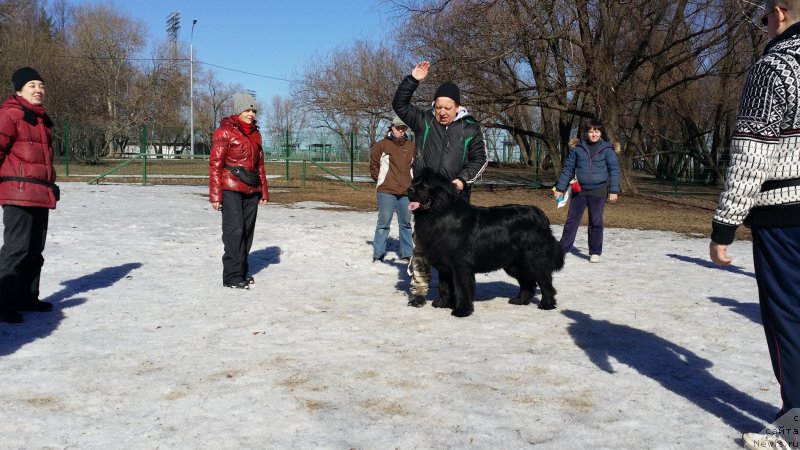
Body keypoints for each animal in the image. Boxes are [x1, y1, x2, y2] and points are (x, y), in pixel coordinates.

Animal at [410, 167, 564, 318]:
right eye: (414, 181)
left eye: (426, 184)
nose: (409, 189)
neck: (439, 214)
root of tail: (540, 215)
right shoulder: (444, 265)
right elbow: (444, 286)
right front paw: (443, 303)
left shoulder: (460, 265)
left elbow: (461, 289)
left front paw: (462, 311)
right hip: (514, 263)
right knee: (528, 283)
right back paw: (520, 300)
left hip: (535, 260)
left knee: (545, 283)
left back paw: (547, 305)